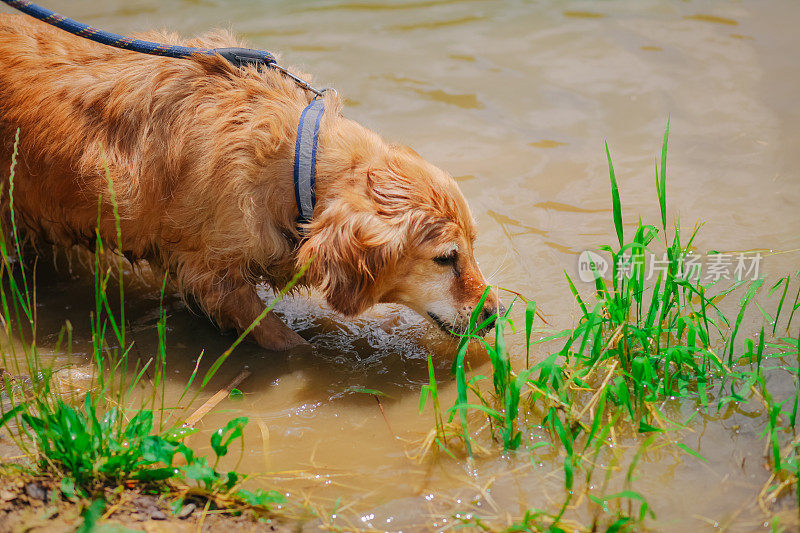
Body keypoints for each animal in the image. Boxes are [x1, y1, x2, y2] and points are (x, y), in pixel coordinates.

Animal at [0, 13, 500, 350]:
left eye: (472, 247)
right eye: (445, 258)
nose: (494, 317)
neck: (293, 162)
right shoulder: (212, 273)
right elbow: (284, 341)